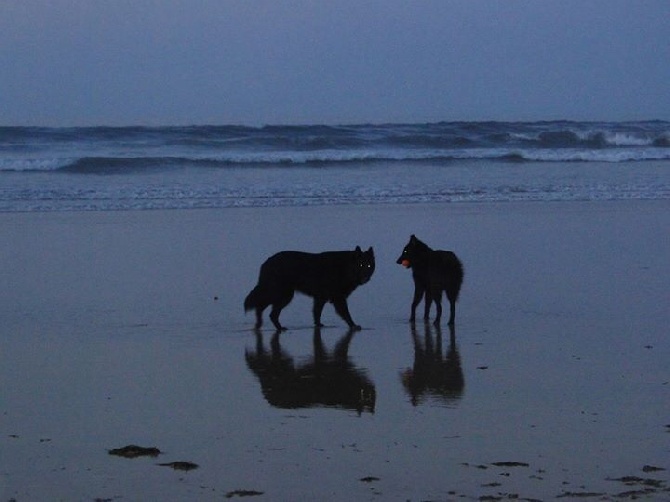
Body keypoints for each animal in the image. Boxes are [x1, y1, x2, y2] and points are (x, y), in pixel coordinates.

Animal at [245, 246, 376, 332]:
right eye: (360, 265)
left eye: (369, 265)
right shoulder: (338, 298)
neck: (346, 268)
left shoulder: (320, 298)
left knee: (261, 307)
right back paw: (279, 328)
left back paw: (260, 324)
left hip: (279, 294)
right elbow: (346, 313)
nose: (366, 277)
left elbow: (317, 312)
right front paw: (353, 325)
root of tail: (266, 263)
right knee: (270, 312)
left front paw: (318, 325)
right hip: (284, 295)